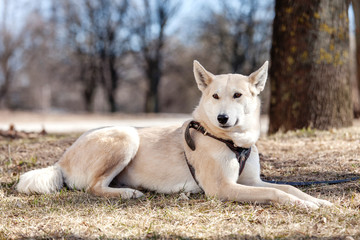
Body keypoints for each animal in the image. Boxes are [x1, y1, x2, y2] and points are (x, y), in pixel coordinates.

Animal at [16, 61, 332, 209]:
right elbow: (276, 192)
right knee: (93, 187)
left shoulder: (251, 181)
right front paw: (306, 204)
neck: (232, 141)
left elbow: (287, 187)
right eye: (215, 96)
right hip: (126, 135)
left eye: (238, 95)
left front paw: (319, 201)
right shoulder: (223, 189)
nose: (222, 118)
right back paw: (128, 193)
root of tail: (62, 160)